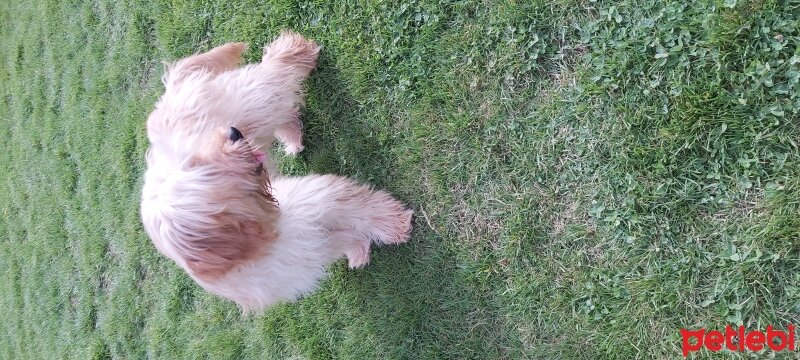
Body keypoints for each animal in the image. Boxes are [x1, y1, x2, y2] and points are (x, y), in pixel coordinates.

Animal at [140, 32, 412, 310]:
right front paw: (359, 250)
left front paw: (394, 225)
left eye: (196, 160)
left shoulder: (319, 197)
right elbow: (344, 235)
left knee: (274, 70)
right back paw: (293, 138)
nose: (233, 133)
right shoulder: (309, 247)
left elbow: (364, 210)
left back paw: (295, 46)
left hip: (252, 100)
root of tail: (169, 93)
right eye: (206, 166)